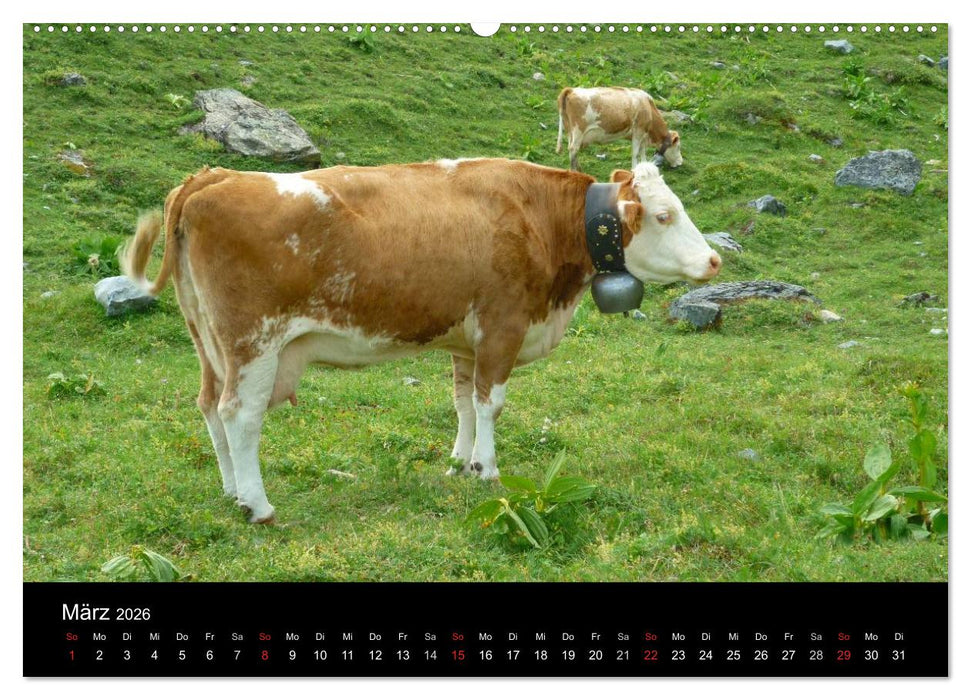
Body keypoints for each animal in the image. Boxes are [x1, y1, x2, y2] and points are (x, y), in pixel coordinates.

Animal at [122, 158, 720, 523]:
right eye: (665, 215)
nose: (715, 259)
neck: (539, 218)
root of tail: (213, 176)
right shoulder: (502, 325)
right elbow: (491, 403)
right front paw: (488, 470)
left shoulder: (466, 341)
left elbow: (463, 403)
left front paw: (460, 463)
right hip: (254, 344)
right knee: (240, 417)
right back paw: (257, 504)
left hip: (207, 340)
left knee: (208, 407)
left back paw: (231, 492)